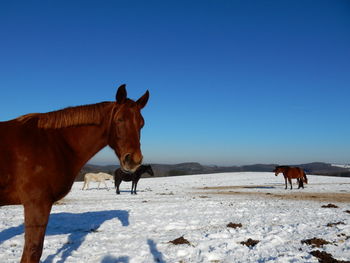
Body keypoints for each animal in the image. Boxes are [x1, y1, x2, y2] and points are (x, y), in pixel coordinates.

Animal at [0, 85, 149, 263]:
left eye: (141, 124)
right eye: (120, 119)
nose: (133, 160)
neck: (51, 143)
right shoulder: (36, 204)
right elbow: (33, 251)